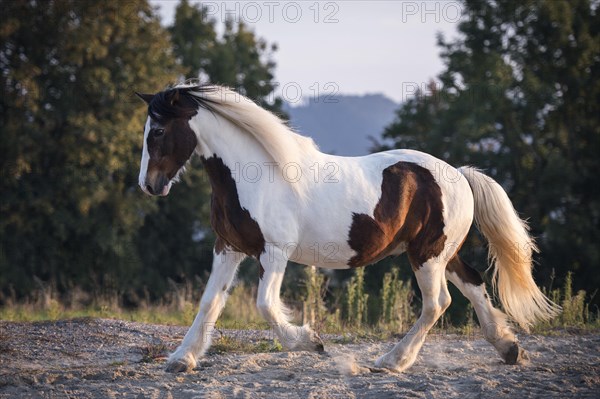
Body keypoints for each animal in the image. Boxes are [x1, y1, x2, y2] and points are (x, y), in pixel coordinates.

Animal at [135, 85, 556, 376]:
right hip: (441, 253)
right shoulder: (228, 248)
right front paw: (182, 359)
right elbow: (210, 302)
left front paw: (311, 342)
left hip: (427, 255)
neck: (254, 175)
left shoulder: (274, 252)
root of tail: (460, 174)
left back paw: (392, 361)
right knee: (474, 285)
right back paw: (508, 349)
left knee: (438, 303)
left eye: (158, 131)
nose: (149, 186)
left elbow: (266, 306)